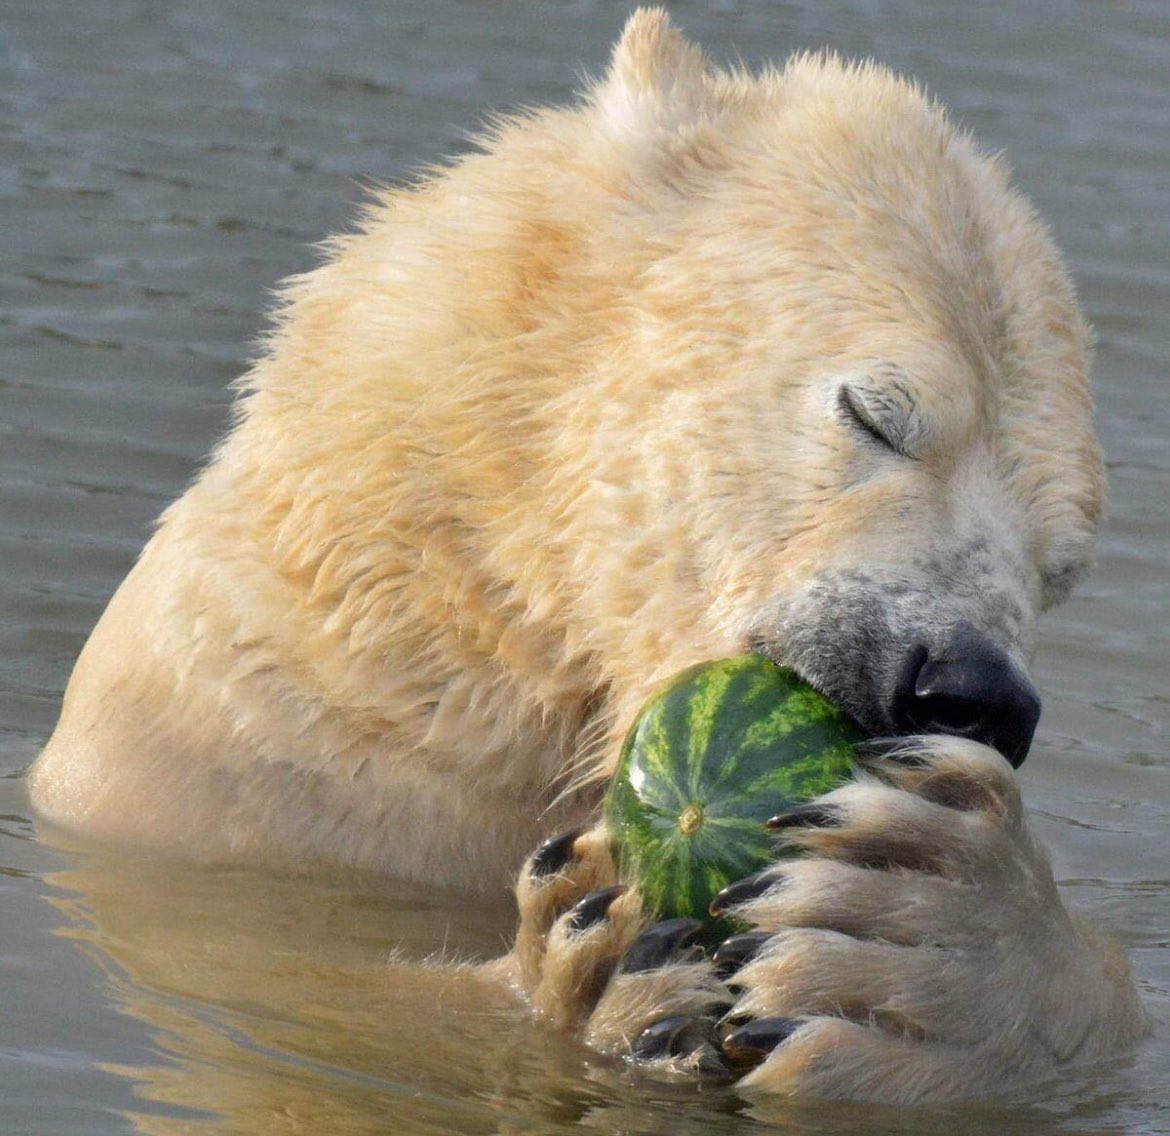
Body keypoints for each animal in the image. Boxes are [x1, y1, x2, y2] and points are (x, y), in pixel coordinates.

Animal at [27, 6, 1141, 1099]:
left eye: (1061, 562)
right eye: (875, 414)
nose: (972, 689)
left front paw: (937, 937)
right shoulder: (253, 772)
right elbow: (291, 995)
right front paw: (595, 973)